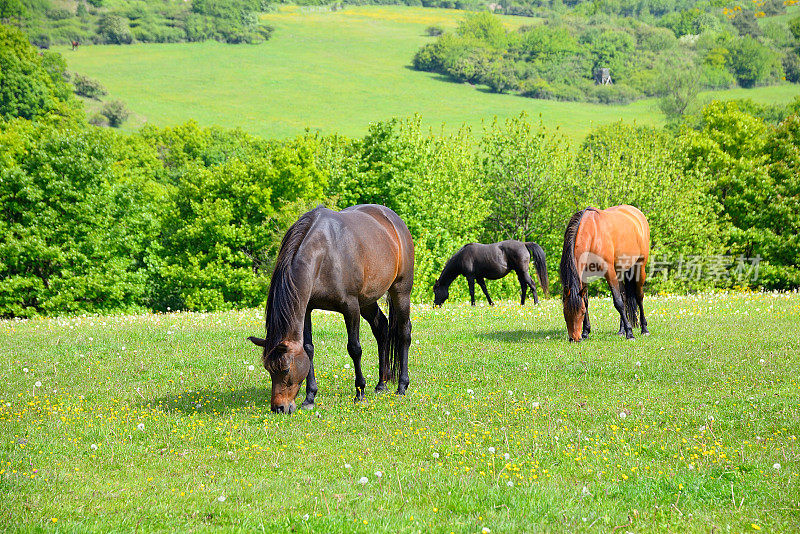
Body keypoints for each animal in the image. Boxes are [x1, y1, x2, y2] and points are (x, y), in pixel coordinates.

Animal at [248, 205, 412, 414]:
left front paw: (360, 393)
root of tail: (394, 220)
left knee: (404, 333)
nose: (279, 408)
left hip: (401, 291)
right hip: (368, 300)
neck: (324, 254)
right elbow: (308, 349)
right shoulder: (307, 309)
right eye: (268, 369)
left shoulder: (351, 307)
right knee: (381, 328)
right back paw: (381, 384)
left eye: (285, 369)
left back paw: (402, 386)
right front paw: (310, 397)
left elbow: (354, 349)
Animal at [560, 205, 652, 344]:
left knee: (639, 296)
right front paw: (586, 332)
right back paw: (621, 330)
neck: (592, 234)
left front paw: (630, 333)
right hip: (619, 270)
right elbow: (586, 301)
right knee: (624, 296)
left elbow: (618, 302)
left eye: (581, 313)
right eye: (565, 313)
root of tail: (637, 213)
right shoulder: (584, 276)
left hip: (640, 267)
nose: (575, 338)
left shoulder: (609, 271)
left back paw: (644, 329)